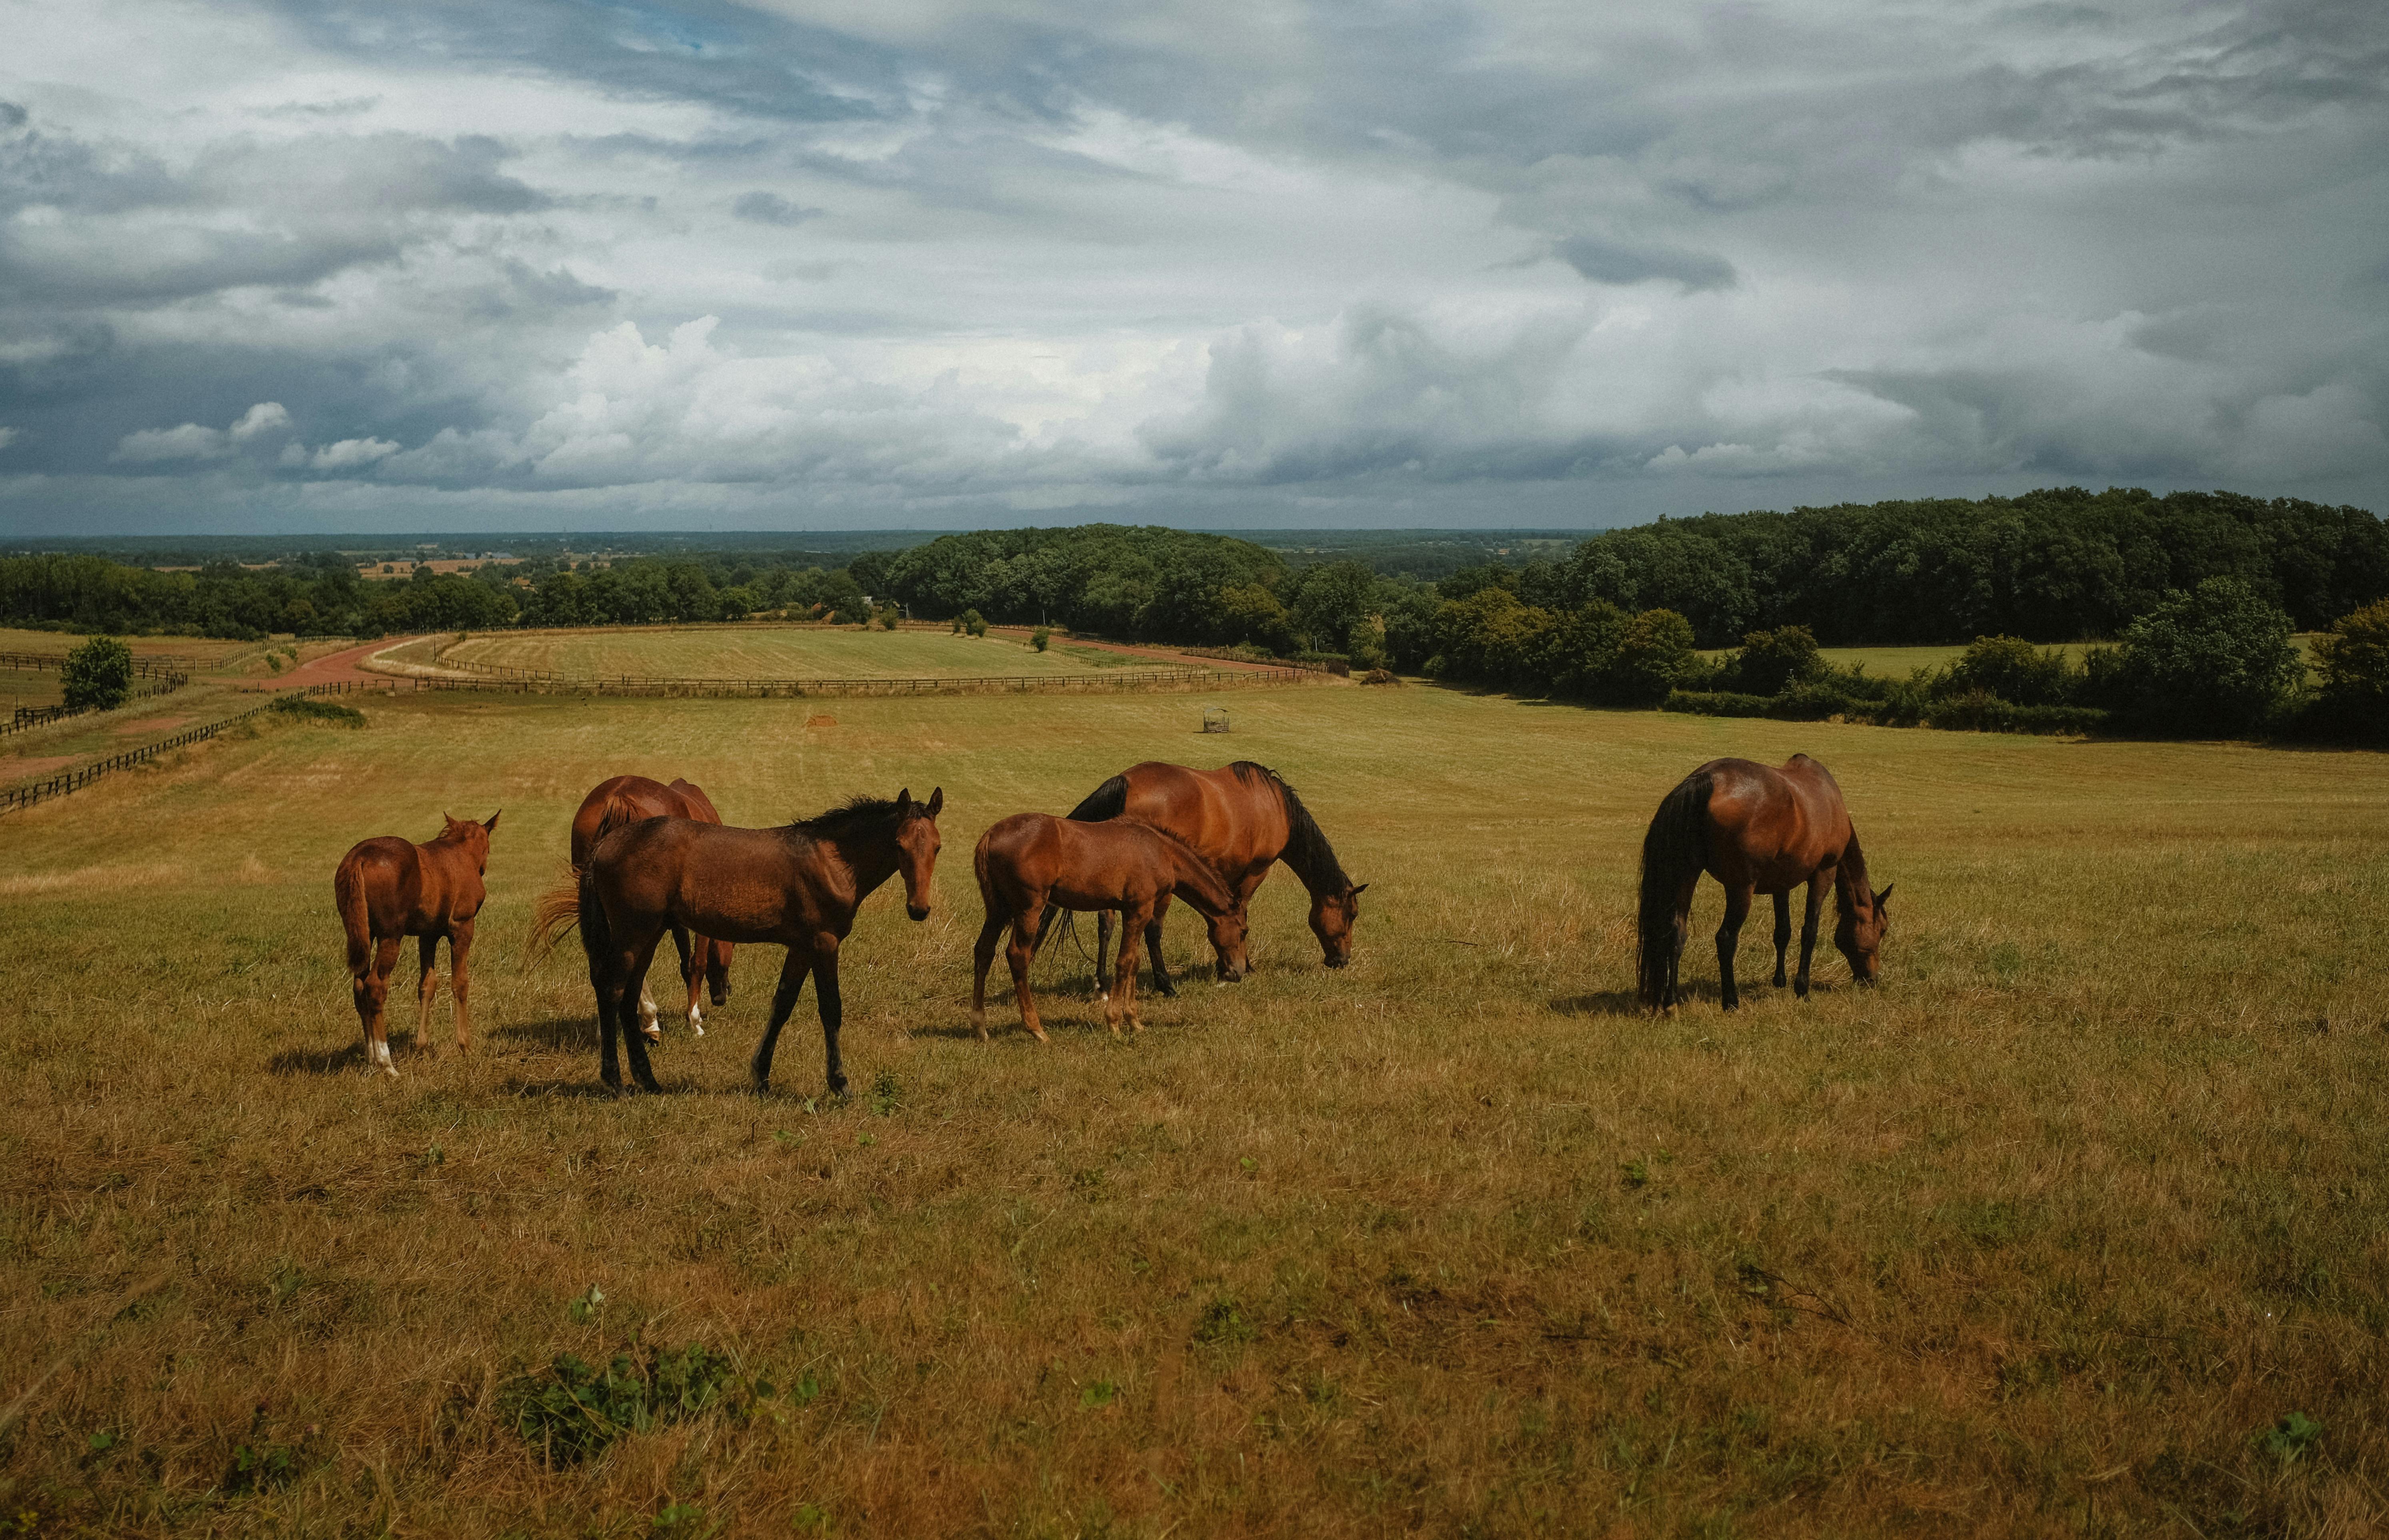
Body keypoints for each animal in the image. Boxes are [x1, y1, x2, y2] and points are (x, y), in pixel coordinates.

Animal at [332, 812, 499, 1076]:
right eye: (488, 848)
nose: (483, 868)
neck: (461, 855)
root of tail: (360, 857)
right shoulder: (463, 927)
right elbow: (460, 983)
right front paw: (465, 1046)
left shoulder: (428, 935)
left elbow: (427, 985)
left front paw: (423, 1046)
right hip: (390, 937)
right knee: (375, 986)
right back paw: (386, 1062)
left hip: (363, 935)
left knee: (359, 988)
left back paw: (371, 1059)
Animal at [571, 789, 943, 1096]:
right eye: (899, 845)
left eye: (937, 847)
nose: (919, 909)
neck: (833, 860)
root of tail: (605, 845)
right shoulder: (825, 943)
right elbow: (831, 1010)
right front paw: (839, 1084)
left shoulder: (801, 947)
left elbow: (782, 1005)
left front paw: (761, 1075)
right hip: (633, 933)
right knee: (613, 991)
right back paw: (615, 1082)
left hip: (649, 934)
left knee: (629, 995)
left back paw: (648, 1080)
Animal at [972, 813, 1249, 1042]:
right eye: (1244, 931)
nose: (1238, 972)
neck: (1161, 852)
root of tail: (990, 835)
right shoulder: (1140, 909)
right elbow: (1124, 962)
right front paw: (1114, 1022)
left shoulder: (1134, 911)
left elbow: (1135, 961)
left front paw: (1134, 1021)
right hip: (1028, 909)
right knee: (1017, 956)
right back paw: (1037, 1029)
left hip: (998, 910)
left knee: (984, 951)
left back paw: (980, 1026)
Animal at [1062, 761, 1364, 997]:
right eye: (1352, 915)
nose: (1342, 960)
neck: (1277, 807)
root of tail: (1126, 781)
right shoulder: (1256, 871)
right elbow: (1242, 913)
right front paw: (1244, 966)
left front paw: (1226, 964)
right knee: (1153, 929)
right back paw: (1165, 985)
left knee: (1106, 923)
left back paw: (1102, 986)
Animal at [1636, 754, 1891, 1011]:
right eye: (1883, 930)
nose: (1872, 979)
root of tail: (1706, 778)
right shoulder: (1824, 874)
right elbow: (1809, 932)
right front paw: (1802, 989)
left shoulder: (1782, 884)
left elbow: (1783, 932)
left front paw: (1780, 981)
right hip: (1741, 889)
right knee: (1726, 938)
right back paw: (1731, 1001)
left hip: (1687, 875)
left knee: (1677, 932)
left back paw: (1670, 1004)